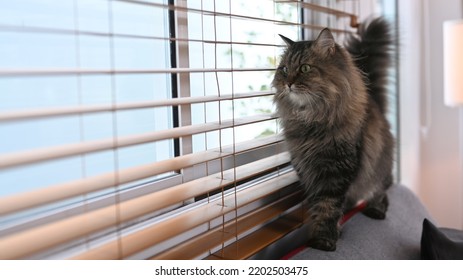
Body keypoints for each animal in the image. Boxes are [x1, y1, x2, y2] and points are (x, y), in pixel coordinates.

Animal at [272, 18, 396, 252]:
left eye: (304, 68)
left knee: (382, 190)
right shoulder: (308, 169)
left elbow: (328, 206)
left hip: (379, 168)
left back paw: (376, 210)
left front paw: (324, 240)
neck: (311, 119)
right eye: (284, 69)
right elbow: (318, 205)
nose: (288, 83)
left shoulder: (337, 170)